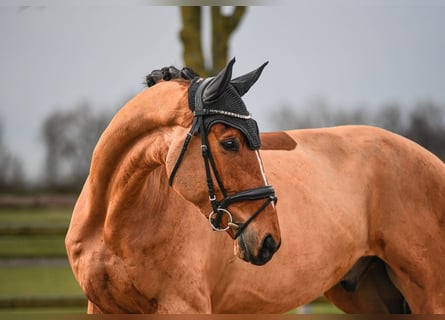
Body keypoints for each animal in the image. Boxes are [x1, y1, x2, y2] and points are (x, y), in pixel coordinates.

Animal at [66, 62, 444, 312]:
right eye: (230, 143)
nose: (269, 241)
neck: (115, 224)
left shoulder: (184, 307)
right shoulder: (103, 308)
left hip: (428, 295)